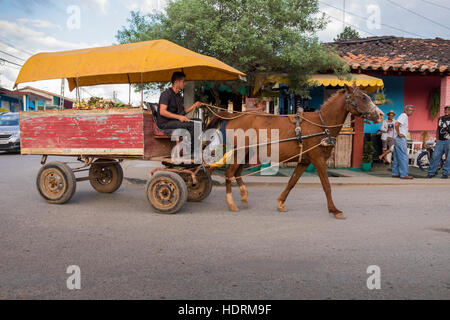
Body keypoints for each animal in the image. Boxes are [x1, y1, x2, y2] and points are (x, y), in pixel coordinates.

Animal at [206, 84, 384, 220]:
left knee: (237, 173)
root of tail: (234, 116)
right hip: (240, 151)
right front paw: (335, 210)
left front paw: (280, 202)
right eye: (363, 98)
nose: (381, 114)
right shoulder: (318, 159)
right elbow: (327, 185)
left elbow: (292, 182)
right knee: (229, 172)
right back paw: (231, 202)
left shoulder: (304, 161)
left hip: (247, 152)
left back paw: (243, 196)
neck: (322, 125)